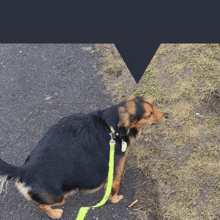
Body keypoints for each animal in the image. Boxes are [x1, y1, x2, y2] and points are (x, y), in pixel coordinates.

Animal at [0, 95, 168, 218]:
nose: (167, 114)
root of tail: (25, 170)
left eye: (153, 104)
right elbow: (114, 186)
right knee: (42, 205)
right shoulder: (117, 167)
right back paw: (54, 214)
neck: (112, 125)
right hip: (58, 197)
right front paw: (115, 198)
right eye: (149, 114)